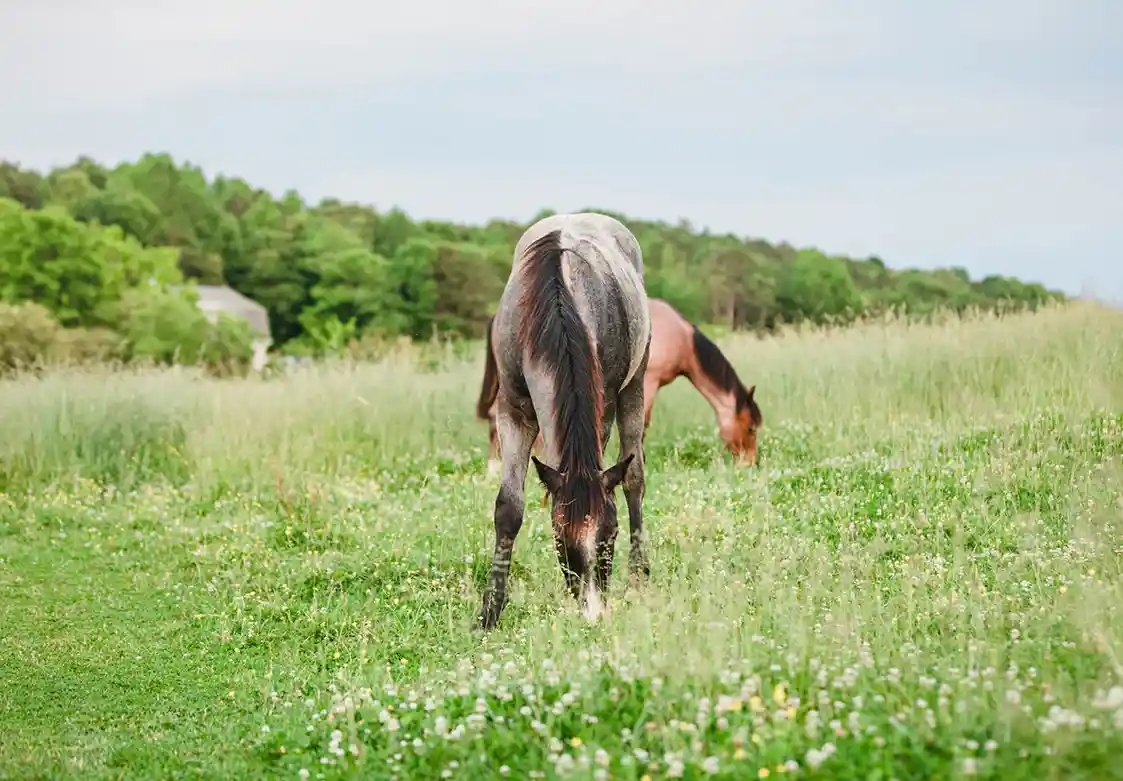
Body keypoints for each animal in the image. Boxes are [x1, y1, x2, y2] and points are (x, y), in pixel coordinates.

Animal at [480, 212, 651, 629]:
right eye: (560, 539)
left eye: (612, 534)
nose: (593, 613)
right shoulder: (512, 411)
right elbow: (509, 507)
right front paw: (490, 611)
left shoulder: (603, 406)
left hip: (636, 384)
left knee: (634, 477)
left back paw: (639, 574)